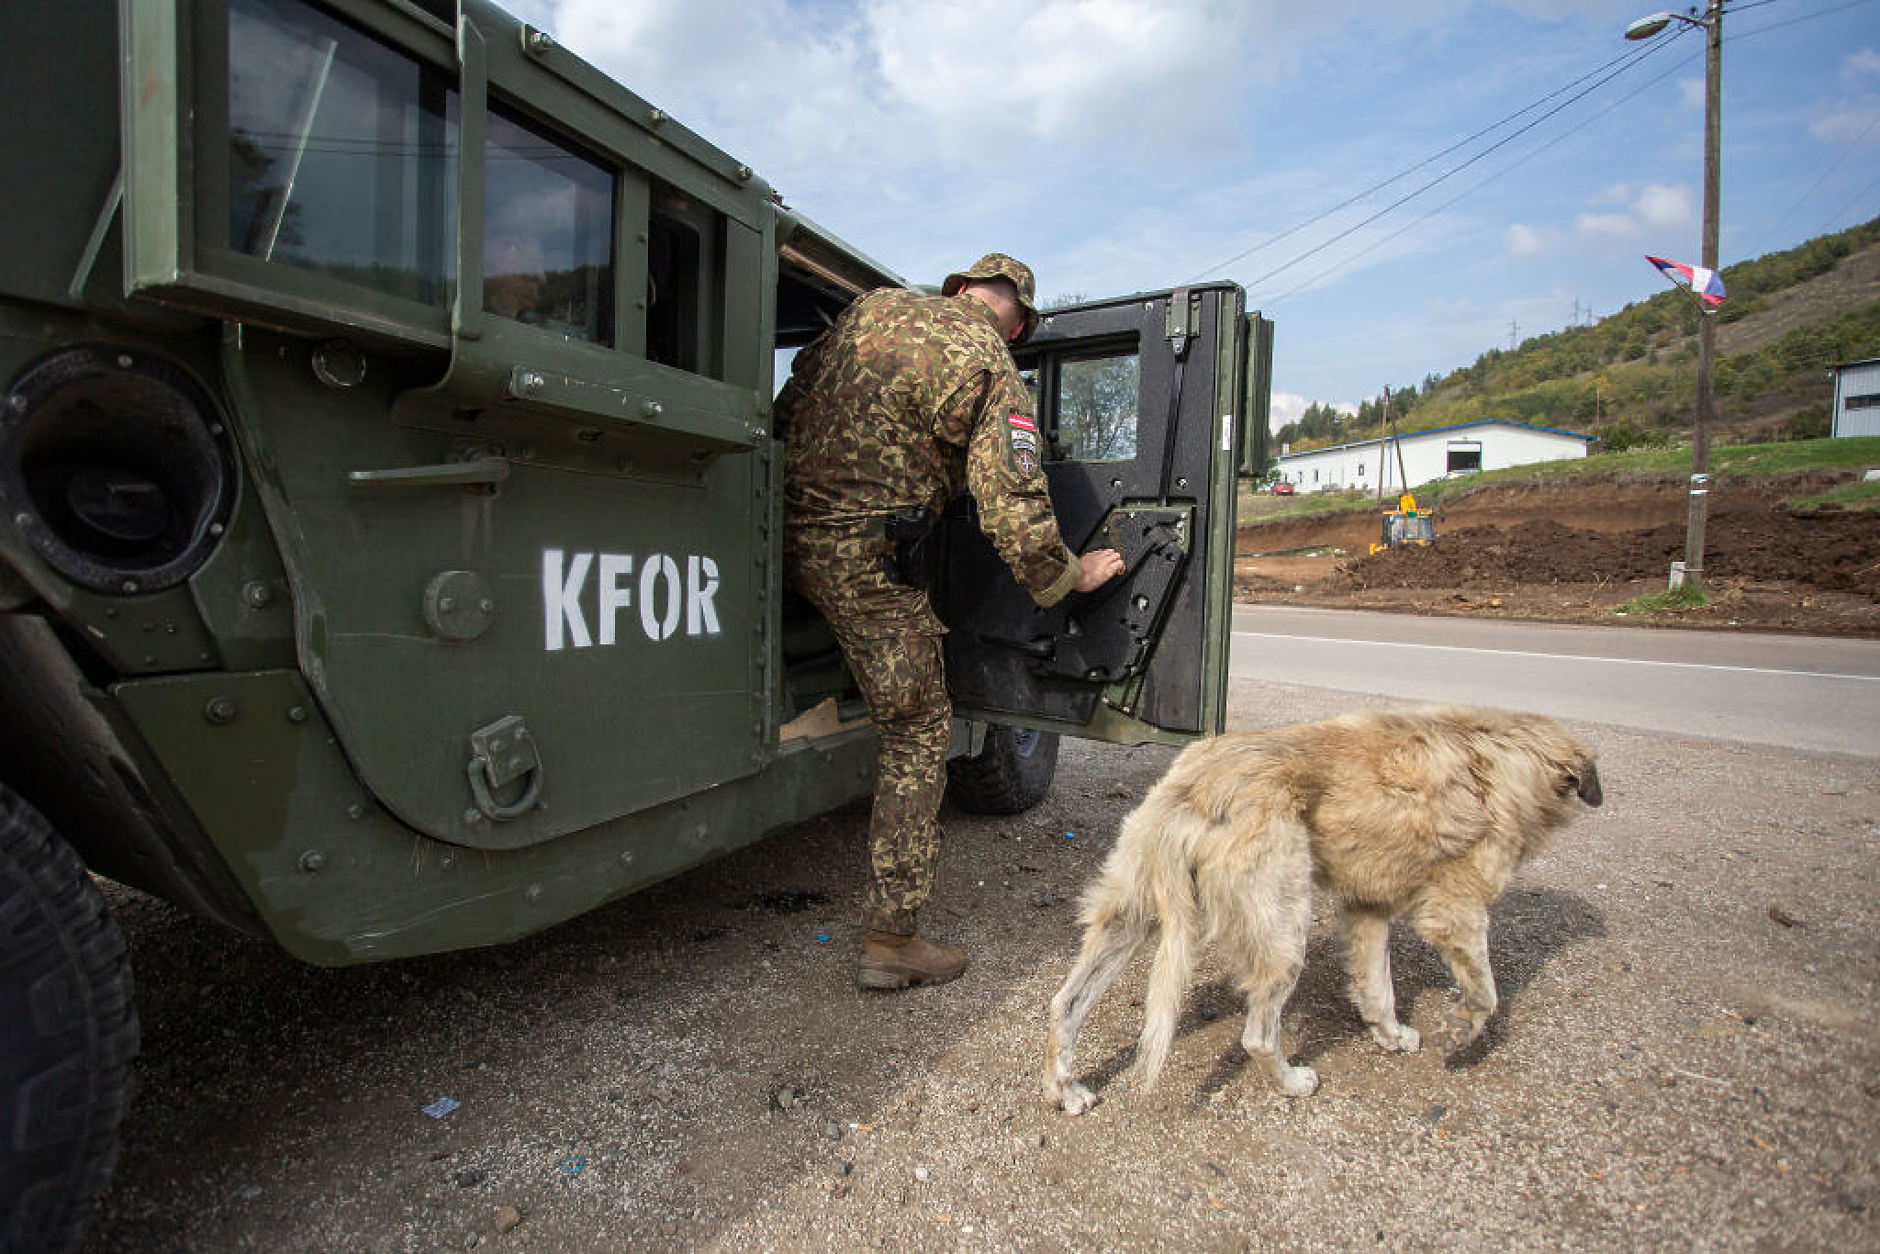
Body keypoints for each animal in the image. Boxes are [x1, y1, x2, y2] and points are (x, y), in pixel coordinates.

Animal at [1045, 706, 1601, 1120]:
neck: (1504, 750)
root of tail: (1202, 785)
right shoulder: (1457, 912)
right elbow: (1487, 994)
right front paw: (1458, 1030)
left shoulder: (1368, 909)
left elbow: (1379, 989)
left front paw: (1390, 1034)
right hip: (1285, 934)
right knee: (1257, 1037)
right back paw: (1292, 1082)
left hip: (1128, 916)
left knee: (1066, 1004)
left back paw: (1064, 1089)